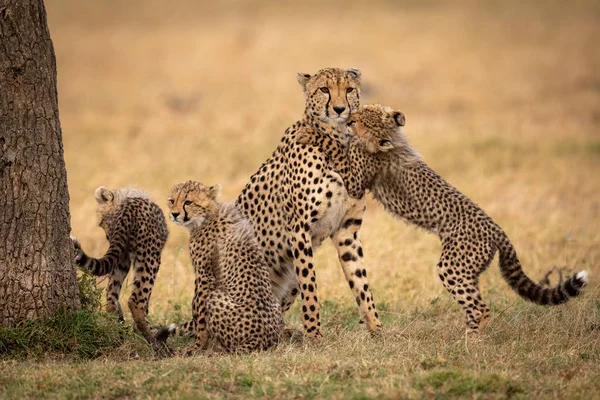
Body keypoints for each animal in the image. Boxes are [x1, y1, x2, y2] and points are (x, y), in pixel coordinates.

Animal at [71, 186, 168, 342]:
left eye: (102, 222)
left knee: (111, 297)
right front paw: (139, 330)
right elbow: (146, 302)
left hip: (120, 259)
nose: (107, 236)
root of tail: (126, 210)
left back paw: (118, 330)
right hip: (150, 258)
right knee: (135, 301)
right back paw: (154, 338)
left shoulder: (124, 257)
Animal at [161, 181, 284, 354]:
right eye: (172, 201)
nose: (174, 214)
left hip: (216, 298)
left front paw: (198, 346)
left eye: (188, 202)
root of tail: (262, 338)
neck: (207, 216)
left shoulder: (205, 277)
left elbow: (200, 317)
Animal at [232, 69, 382, 338]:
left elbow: (361, 283)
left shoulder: (347, 230)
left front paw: (378, 330)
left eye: (349, 89)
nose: (340, 109)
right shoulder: (299, 229)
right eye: (324, 89)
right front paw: (314, 335)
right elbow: (310, 285)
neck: (336, 141)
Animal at [298, 104, 588, 334]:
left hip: (452, 266)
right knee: (476, 303)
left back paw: (471, 340)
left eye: (362, 121)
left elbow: (338, 152)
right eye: (361, 112)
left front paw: (311, 133)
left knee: (481, 308)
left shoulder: (357, 180)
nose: (349, 118)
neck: (389, 141)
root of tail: (499, 231)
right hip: (468, 271)